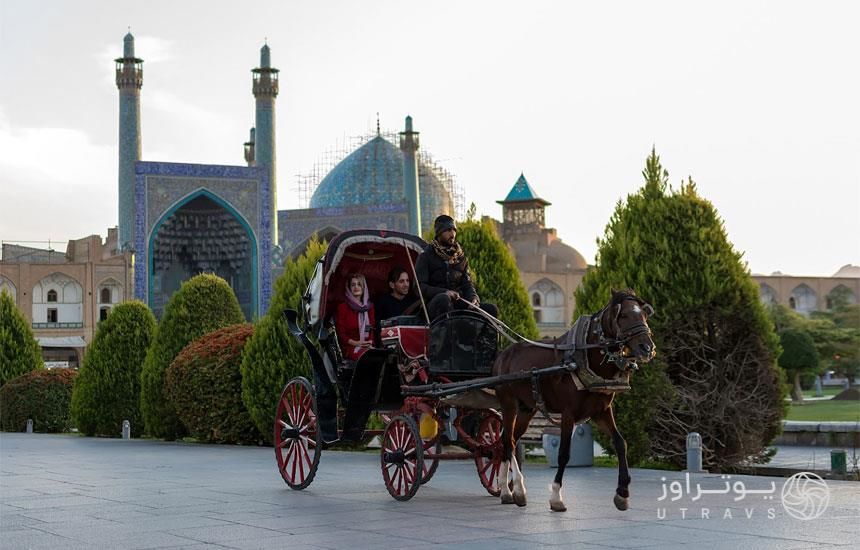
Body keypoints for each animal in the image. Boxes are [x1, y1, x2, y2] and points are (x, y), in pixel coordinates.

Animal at [494, 288, 656, 512]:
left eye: (645, 314)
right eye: (623, 315)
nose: (647, 348)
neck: (584, 358)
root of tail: (503, 354)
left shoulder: (601, 411)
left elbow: (620, 443)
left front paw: (622, 492)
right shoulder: (568, 413)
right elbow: (563, 453)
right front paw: (556, 496)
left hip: (526, 408)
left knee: (507, 439)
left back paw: (506, 490)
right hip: (508, 402)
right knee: (509, 442)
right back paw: (518, 488)